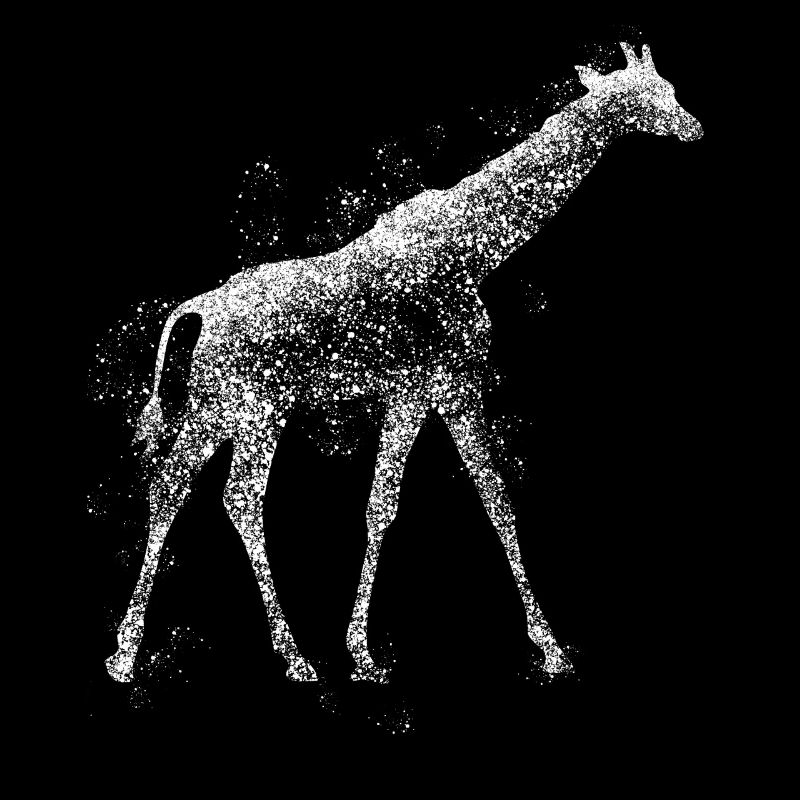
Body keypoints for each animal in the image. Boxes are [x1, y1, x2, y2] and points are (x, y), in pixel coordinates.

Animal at [105, 43, 702, 684]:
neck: (470, 246)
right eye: (652, 95)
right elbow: (480, 498)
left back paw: (149, 652)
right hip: (249, 409)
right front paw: (549, 647)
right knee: (222, 498)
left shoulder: (414, 393)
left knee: (187, 491)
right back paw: (272, 656)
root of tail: (197, 311)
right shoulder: (446, 382)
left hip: (225, 411)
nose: (693, 127)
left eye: (668, 86)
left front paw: (363, 651)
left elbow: (399, 506)